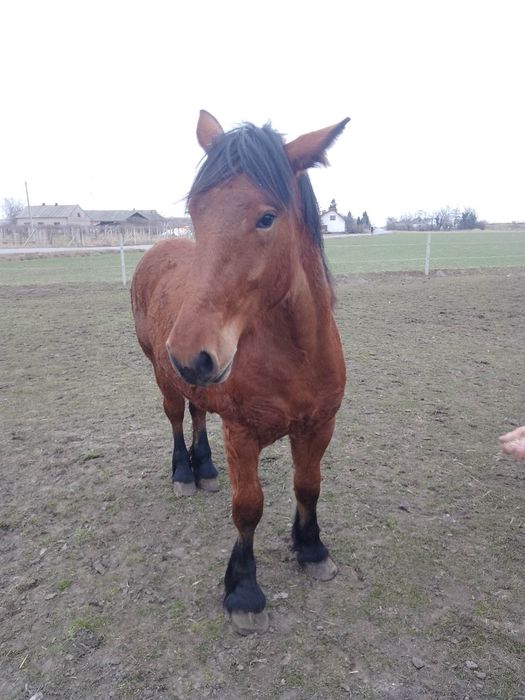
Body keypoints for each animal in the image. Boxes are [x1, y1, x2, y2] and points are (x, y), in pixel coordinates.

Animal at [130, 109, 348, 636]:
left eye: (267, 217)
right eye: (195, 211)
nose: (191, 354)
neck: (293, 356)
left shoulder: (319, 426)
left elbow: (308, 486)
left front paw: (311, 550)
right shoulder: (243, 434)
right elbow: (248, 508)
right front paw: (244, 591)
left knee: (197, 414)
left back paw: (205, 467)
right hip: (164, 378)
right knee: (175, 417)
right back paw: (184, 473)